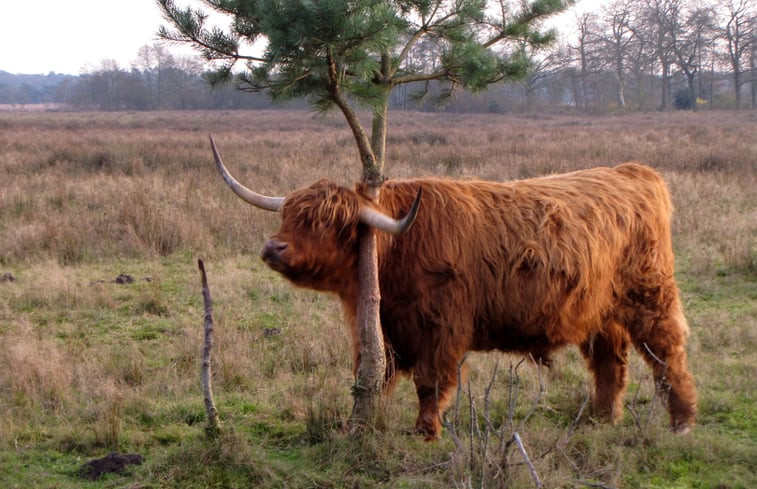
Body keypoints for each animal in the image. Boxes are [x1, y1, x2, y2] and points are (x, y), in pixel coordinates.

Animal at [210, 137, 692, 438]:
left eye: (328, 223)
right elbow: (373, 374)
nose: (273, 247)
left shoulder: (441, 327)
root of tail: (632, 172)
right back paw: (602, 418)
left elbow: (431, 381)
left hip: (651, 296)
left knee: (668, 353)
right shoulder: (380, 327)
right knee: (610, 362)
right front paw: (359, 425)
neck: (397, 253)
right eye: (288, 215)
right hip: (600, 310)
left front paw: (426, 431)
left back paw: (682, 421)